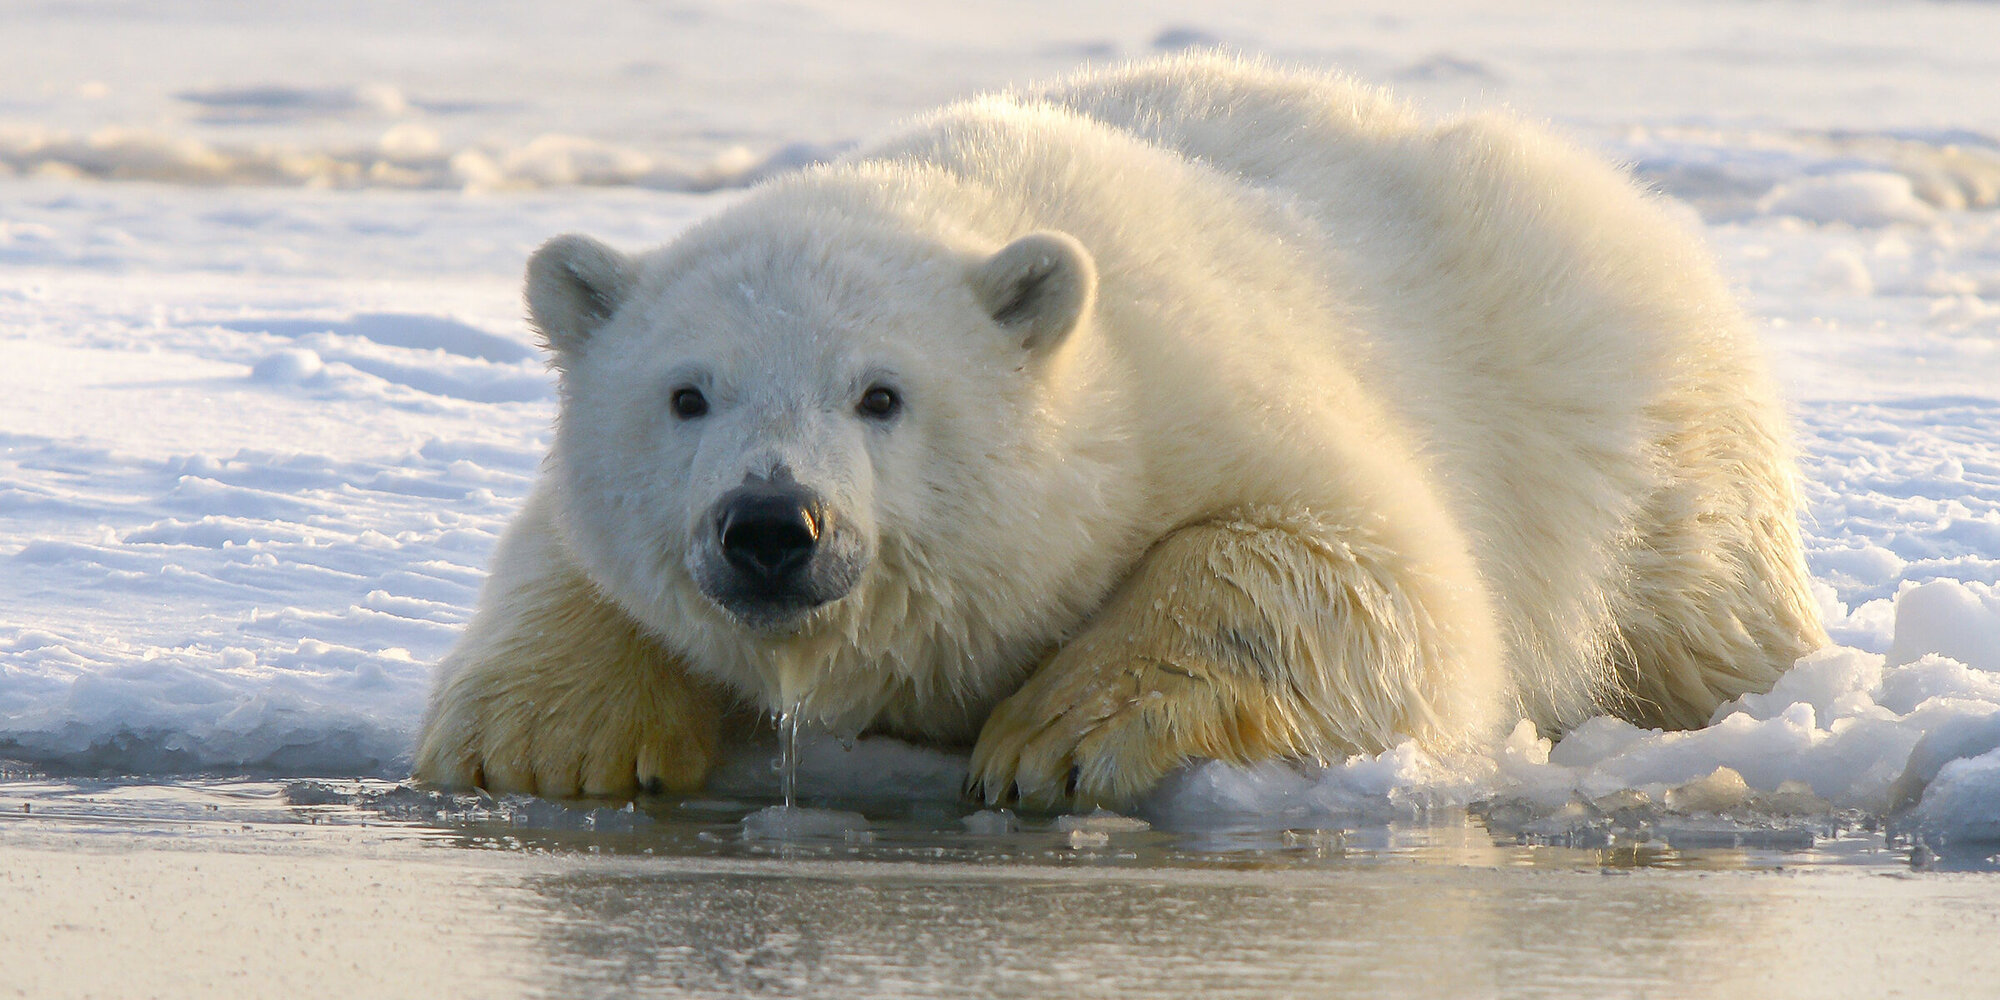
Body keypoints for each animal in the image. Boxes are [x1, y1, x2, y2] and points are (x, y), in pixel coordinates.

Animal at [418, 54, 1832, 808]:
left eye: (880, 393)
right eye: (686, 394)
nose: (773, 525)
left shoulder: (1205, 390)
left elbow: (1367, 575)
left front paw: (1055, 738)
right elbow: (560, 557)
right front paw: (547, 742)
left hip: (1626, 419)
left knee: (1697, 602)